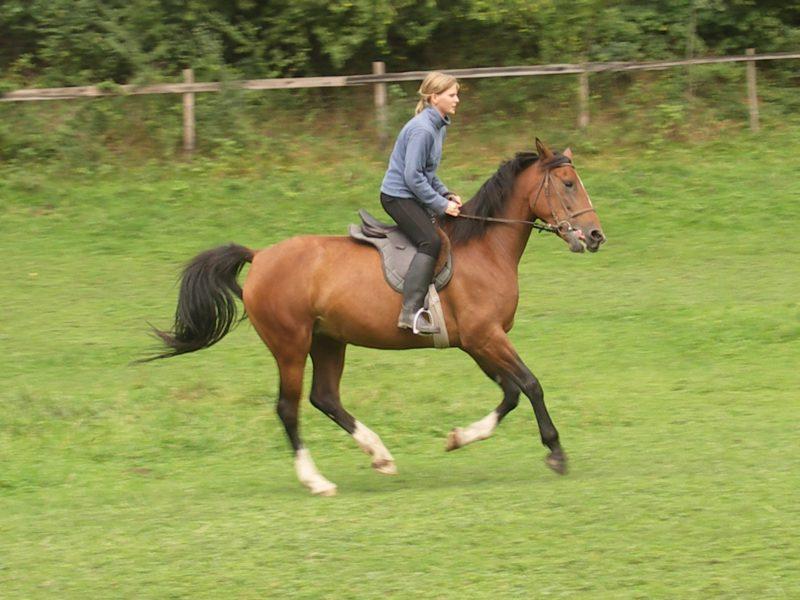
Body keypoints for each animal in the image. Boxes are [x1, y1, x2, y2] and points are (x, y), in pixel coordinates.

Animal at [147, 139, 608, 496]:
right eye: (569, 184)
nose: (595, 236)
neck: (484, 248)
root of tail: (260, 257)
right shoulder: (486, 337)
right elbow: (531, 384)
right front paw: (556, 452)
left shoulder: (476, 342)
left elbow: (511, 393)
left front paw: (458, 438)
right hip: (290, 344)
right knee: (289, 408)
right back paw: (316, 481)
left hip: (328, 340)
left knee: (325, 398)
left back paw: (380, 455)